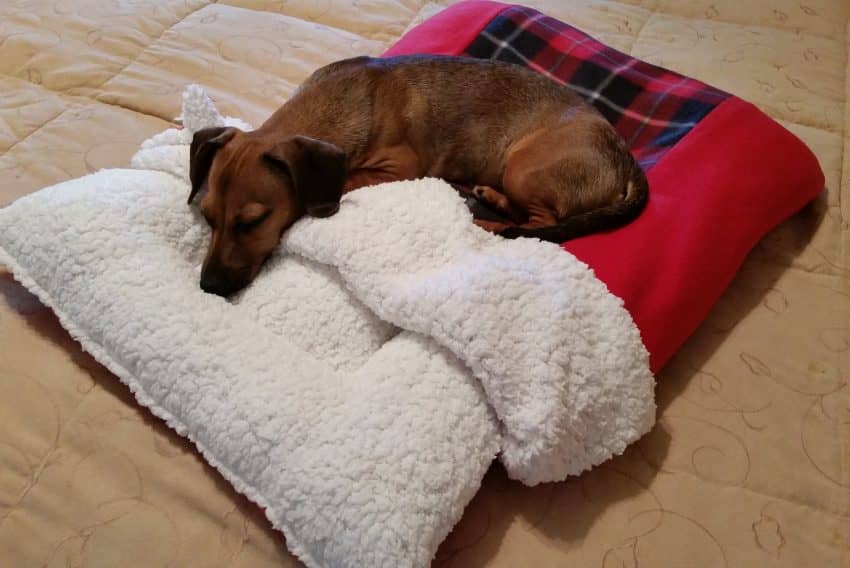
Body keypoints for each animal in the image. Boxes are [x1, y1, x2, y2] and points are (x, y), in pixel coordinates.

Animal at [189, 54, 644, 298]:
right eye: (208, 218)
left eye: (252, 221)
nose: (208, 286)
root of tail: (624, 159)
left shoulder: (400, 166)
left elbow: (350, 178)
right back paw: (487, 198)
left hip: (522, 168)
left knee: (540, 224)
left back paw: (487, 222)